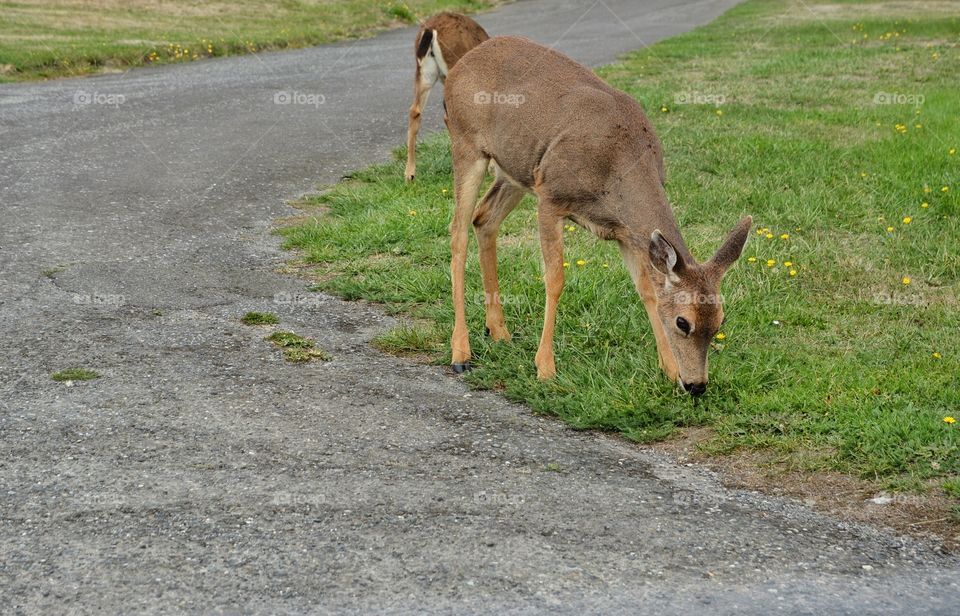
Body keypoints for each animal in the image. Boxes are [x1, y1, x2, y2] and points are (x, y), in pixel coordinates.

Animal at [404, 12, 488, 182]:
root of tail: (430, 30)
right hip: (454, 69)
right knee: (448, 116)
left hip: (425, 72)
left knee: (415, 110)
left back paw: (410, 174)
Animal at [440, 38, 752, 398]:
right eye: (683, 321)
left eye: (720, 321)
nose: (697, 385)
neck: (618, 164)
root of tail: (463, 62)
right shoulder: (551, 196)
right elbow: (555, 279)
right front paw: (545, 368)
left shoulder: (625, 232)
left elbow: (647, 289)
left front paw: (669, 369)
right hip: (467, 144)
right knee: (458, 232)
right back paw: (461, 353)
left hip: (516, 170)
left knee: (484, 218)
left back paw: (498, 331)